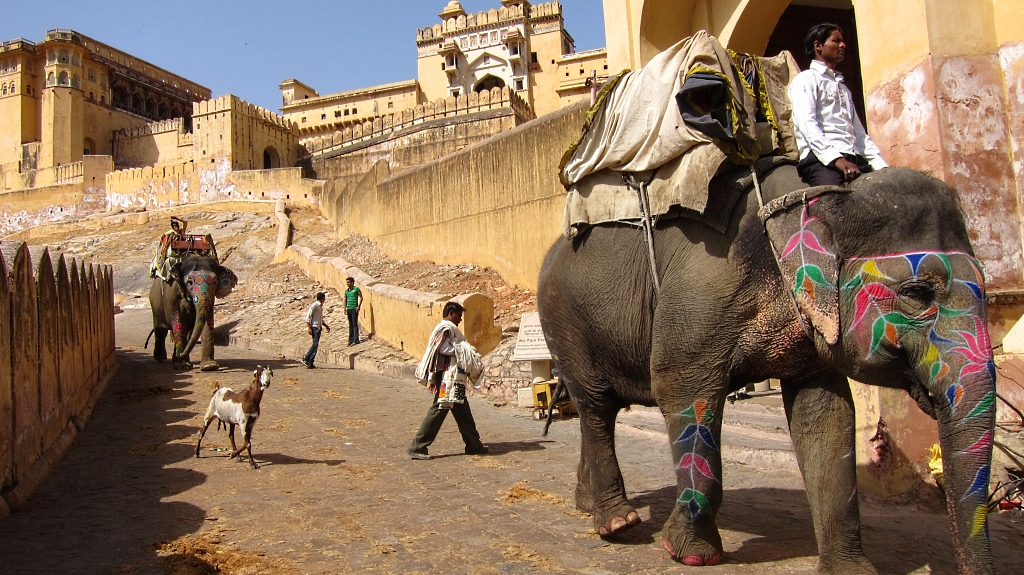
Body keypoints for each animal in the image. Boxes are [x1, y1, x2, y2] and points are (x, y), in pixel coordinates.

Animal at [540, 162, 995, 572]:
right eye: (917, 294)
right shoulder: (700, 297)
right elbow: (682, 391)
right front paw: (691, 554)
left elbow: (826, 414)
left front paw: (850, 570)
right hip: (565, 323)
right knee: (596, 405)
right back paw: (618, 523)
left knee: (601, 409)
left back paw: (588, 504)